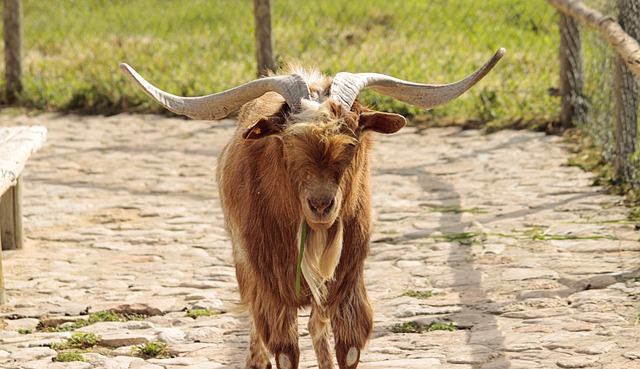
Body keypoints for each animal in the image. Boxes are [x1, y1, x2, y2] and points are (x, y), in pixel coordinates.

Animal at [120, 46, 504, 368]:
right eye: (289, 142)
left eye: (352, 141)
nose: (321, 205)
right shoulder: (271, 287)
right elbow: (283, 351)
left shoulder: (346, 285)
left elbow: (345, 348)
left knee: (317, 327)